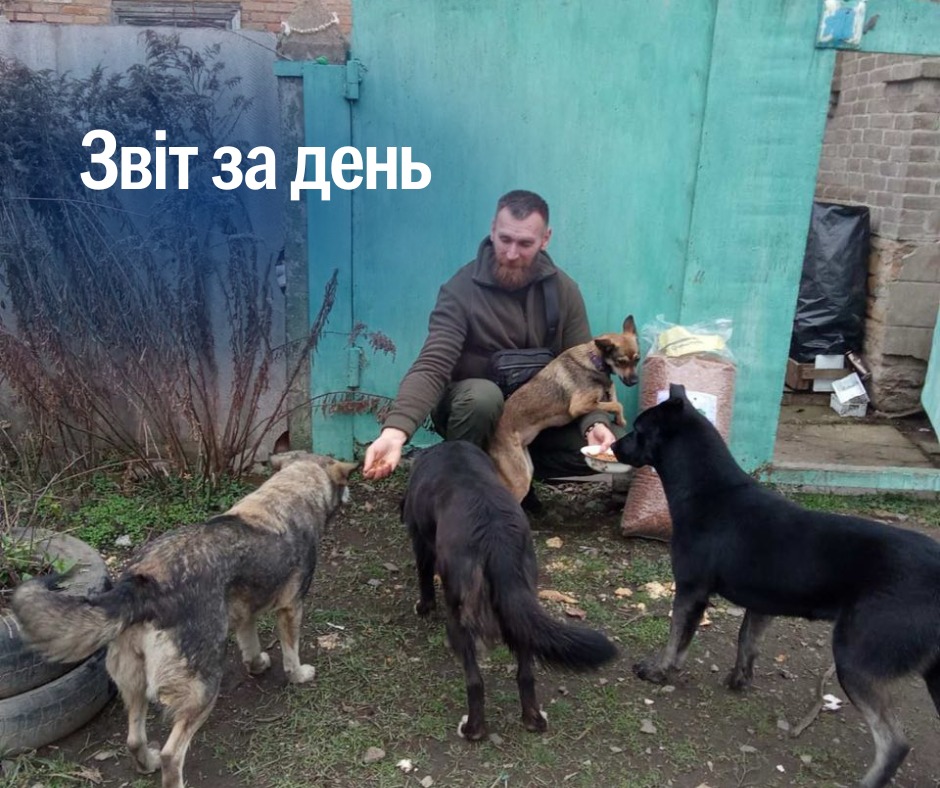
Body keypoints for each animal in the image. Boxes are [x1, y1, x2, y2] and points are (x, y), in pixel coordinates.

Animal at [11, 453, 356, 788]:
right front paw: (298, 674)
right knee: (172, 754)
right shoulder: (291, 607)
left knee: (133, 740)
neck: (288, 492)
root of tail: (143, 585)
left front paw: (257, 664)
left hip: (134, 683)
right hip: (202, 689)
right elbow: (291, 652)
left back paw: (146, 761)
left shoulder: (244, 613)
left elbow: (250, 644)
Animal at [401, 440, 618, 740]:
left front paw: (423, 608)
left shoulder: (420, 542)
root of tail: (495, 537)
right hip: (520, 602)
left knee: (475, 680)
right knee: (525, 674)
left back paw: (472, 729)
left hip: (459, 610)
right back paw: (534, 721)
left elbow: (423, 579)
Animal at [488, 314, 640, 501]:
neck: (594, 359)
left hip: (525, 467)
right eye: (621, 362)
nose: (635, 381)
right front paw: (620, 416)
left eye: (637, 360)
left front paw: (620, 418)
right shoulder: (579, 405)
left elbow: (612, 393)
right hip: (518, 479)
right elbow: (616, 403)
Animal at [612, 384, 940, 788]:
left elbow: (677, 639)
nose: (614, 446)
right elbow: (747, 642)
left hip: (855, 659)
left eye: (639, 429)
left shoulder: (691, 590)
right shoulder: (761, 604)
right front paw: (740, 680)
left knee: (893, 742)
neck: (711, 490)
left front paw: (659, 671)